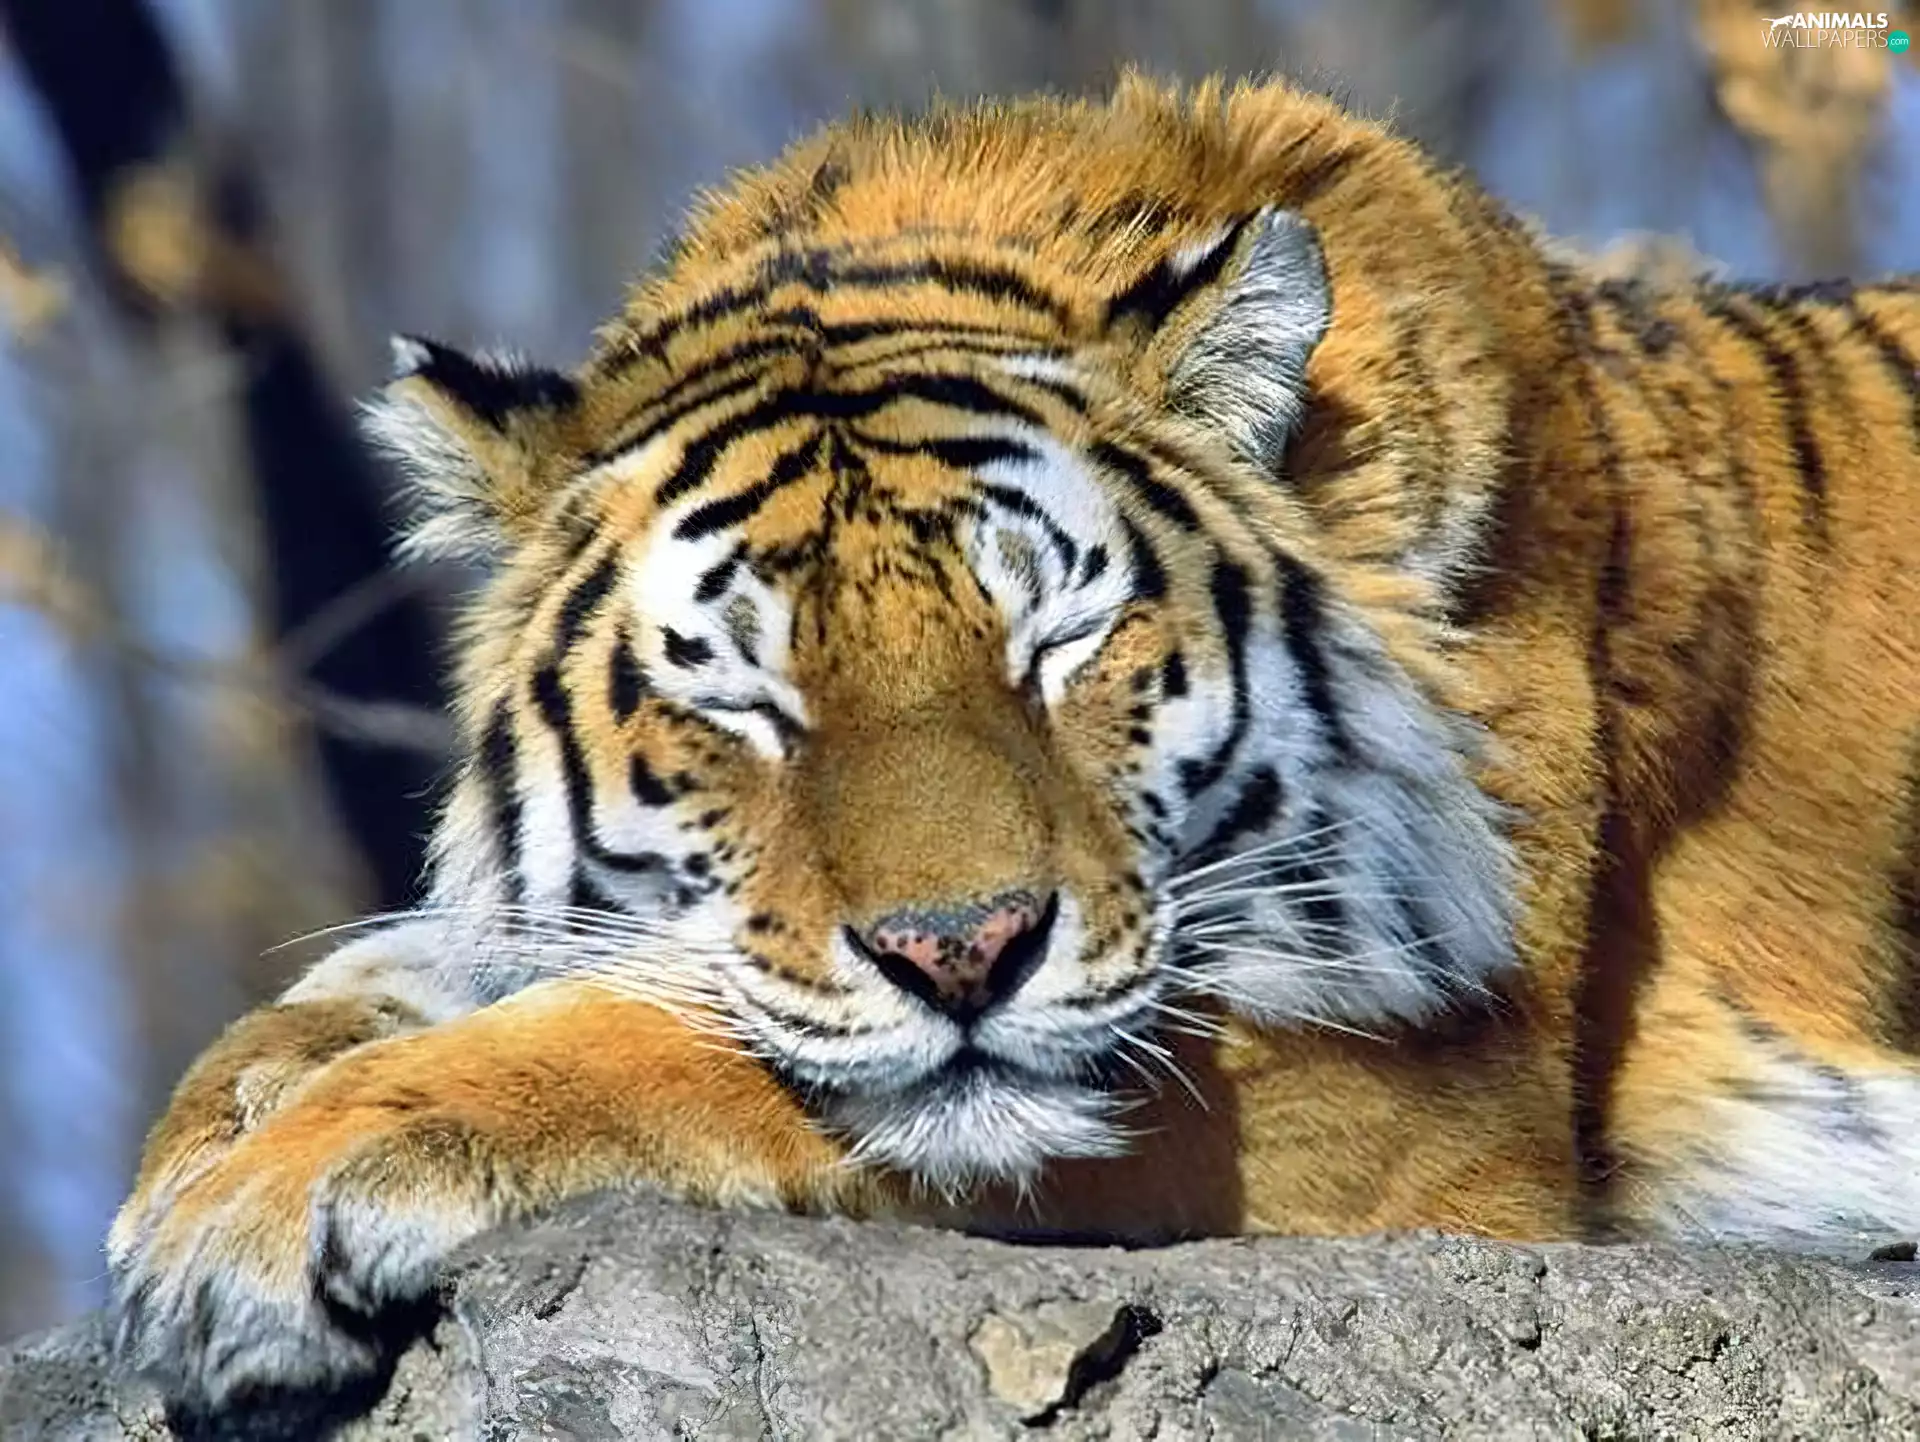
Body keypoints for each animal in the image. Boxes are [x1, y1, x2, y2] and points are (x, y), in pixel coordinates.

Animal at [106, 73, 1920, 1415]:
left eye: (1054, 647)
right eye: (748, 699)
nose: (960, 950)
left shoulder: (1424, 1098)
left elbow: (673, 1043)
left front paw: (265, 1205)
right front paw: (221, 1123)